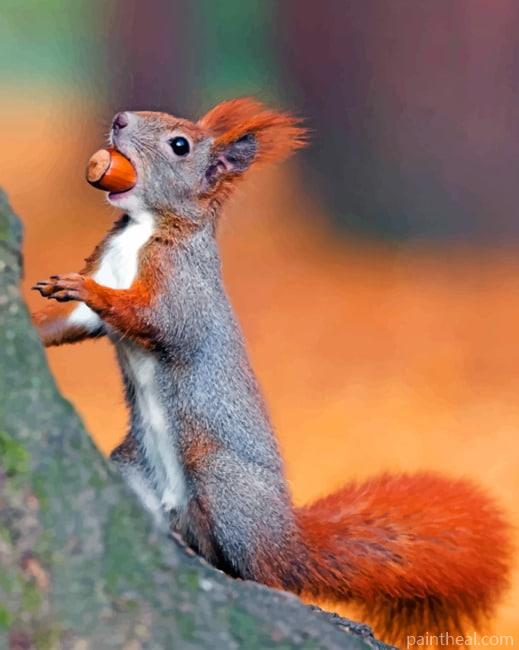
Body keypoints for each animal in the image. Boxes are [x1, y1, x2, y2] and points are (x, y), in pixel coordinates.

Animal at [32, 98, 511, 643]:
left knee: (264, 572)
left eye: (180, 145)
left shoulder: (182, 291)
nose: (119, 120)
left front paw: (82, 286)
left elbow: (150, 319)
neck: (140, 229)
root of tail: (286, 542)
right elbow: (72, 323)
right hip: (132, 468)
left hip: (221, 478)